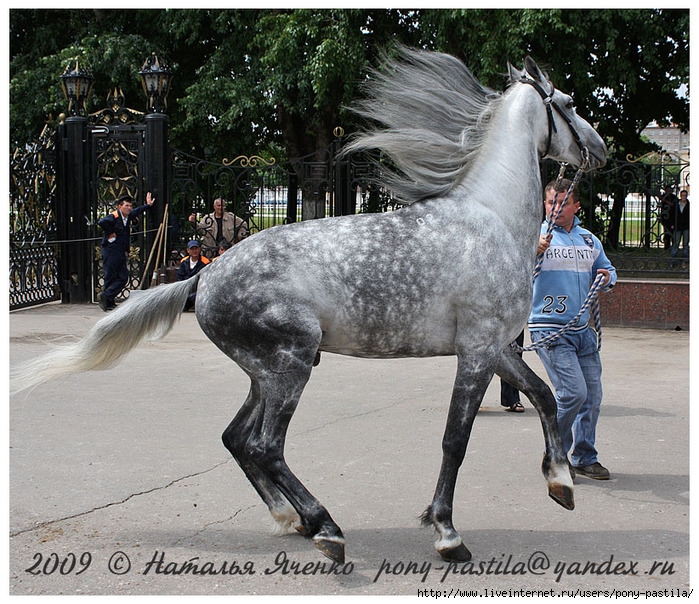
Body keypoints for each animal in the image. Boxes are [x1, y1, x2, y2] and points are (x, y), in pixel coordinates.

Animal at [13, 49, 608, 564]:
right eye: (569, 102)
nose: (599, 149)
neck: (491, 220)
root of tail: (204, 275)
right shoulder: (478, 352)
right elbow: (455, 441)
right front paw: (446, 533)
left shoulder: (499, 348)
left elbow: (545, 397)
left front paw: (560, 483)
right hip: (292, 365)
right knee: (266, 446)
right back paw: (325, 529)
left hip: (266, 373)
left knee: (238, 439)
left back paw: (291, 518)